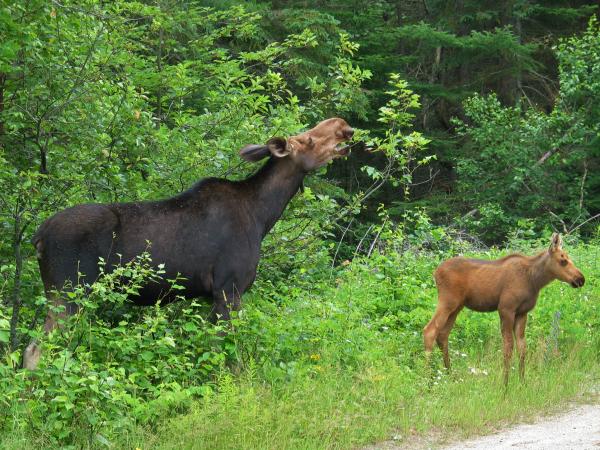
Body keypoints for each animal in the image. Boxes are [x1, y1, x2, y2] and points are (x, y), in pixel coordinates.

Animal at [23, 117, 354, 370]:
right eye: (307, 139)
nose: (344, 126)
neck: (263, 216)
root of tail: (37, 237)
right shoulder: (229, 288)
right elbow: (227, 353)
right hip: (70, 291)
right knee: (35, 350)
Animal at [422, 234, 584, 384]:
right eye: (563, 261)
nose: (581, 279)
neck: (535, 280)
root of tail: (435, 272)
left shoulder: (522, 312)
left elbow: (522, 347)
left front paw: (522, 381)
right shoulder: (506, 309)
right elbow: (508, 347)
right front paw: (505, 384)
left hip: (456, 307)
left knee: (443, 335)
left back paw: (449, 375)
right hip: (447, 301)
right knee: (429, 331)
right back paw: (428, 380)